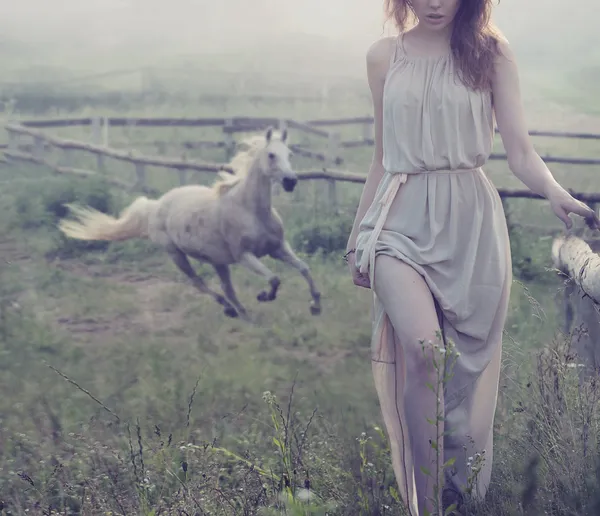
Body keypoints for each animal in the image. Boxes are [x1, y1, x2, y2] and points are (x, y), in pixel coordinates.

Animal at [59, 127, 324, 320]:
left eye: (290, 155)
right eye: (271, 155)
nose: (290, 181)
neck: (250, 210)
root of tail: (155, 206)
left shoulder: (278, 248)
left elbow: (304, 269)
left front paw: (316, 306)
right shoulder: (244, 256)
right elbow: (275, 279)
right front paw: (264, 296)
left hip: (218, 261)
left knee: (227, 288)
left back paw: (241, 313)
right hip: (176, 254)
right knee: (198, 283)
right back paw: (229, 309)